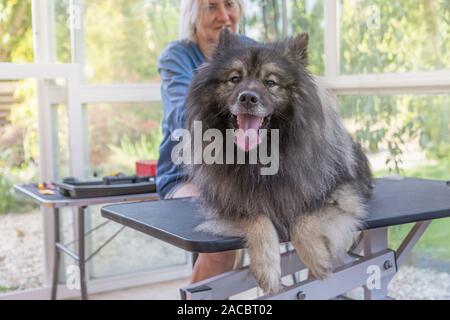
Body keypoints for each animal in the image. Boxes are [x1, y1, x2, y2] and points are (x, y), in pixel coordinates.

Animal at [183, 28, 372, 294]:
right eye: (235, 79)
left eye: (270, 82)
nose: (248, 98)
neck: (263, 155)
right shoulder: (229, 204)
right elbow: (258, 220)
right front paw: (267, 269)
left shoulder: (341, 196)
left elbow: (304, 219)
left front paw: (316, 257)